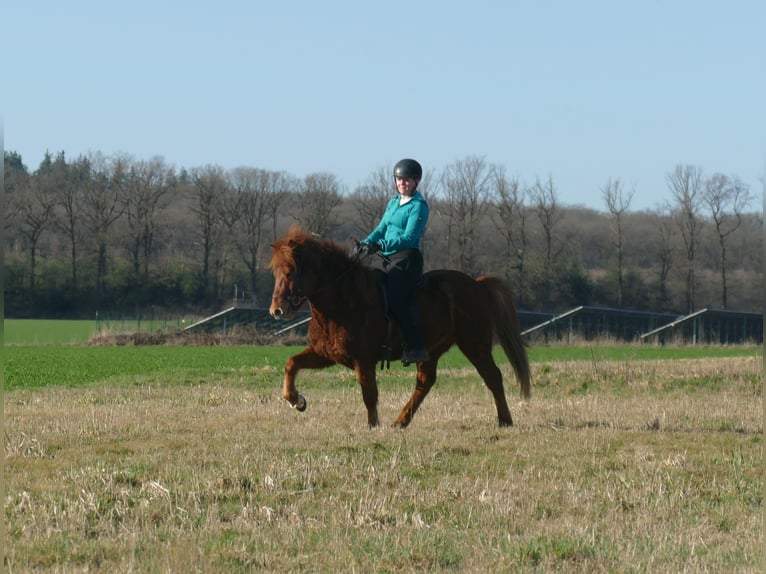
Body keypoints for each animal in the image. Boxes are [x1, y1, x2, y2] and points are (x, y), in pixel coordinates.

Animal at [268, 225, 531, 428]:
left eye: (290, 272)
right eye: (275, 271)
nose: (277, 311)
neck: (343, 300)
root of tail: (477, 285)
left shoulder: (363, 359)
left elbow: (369, 394)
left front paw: (373, 426)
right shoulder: (326, 354)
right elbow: (291, 364)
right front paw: (296, 401)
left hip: (474, 344)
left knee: (493, 376)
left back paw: (505, 420)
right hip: (431, 350)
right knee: (425, 383)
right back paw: (400, 421)